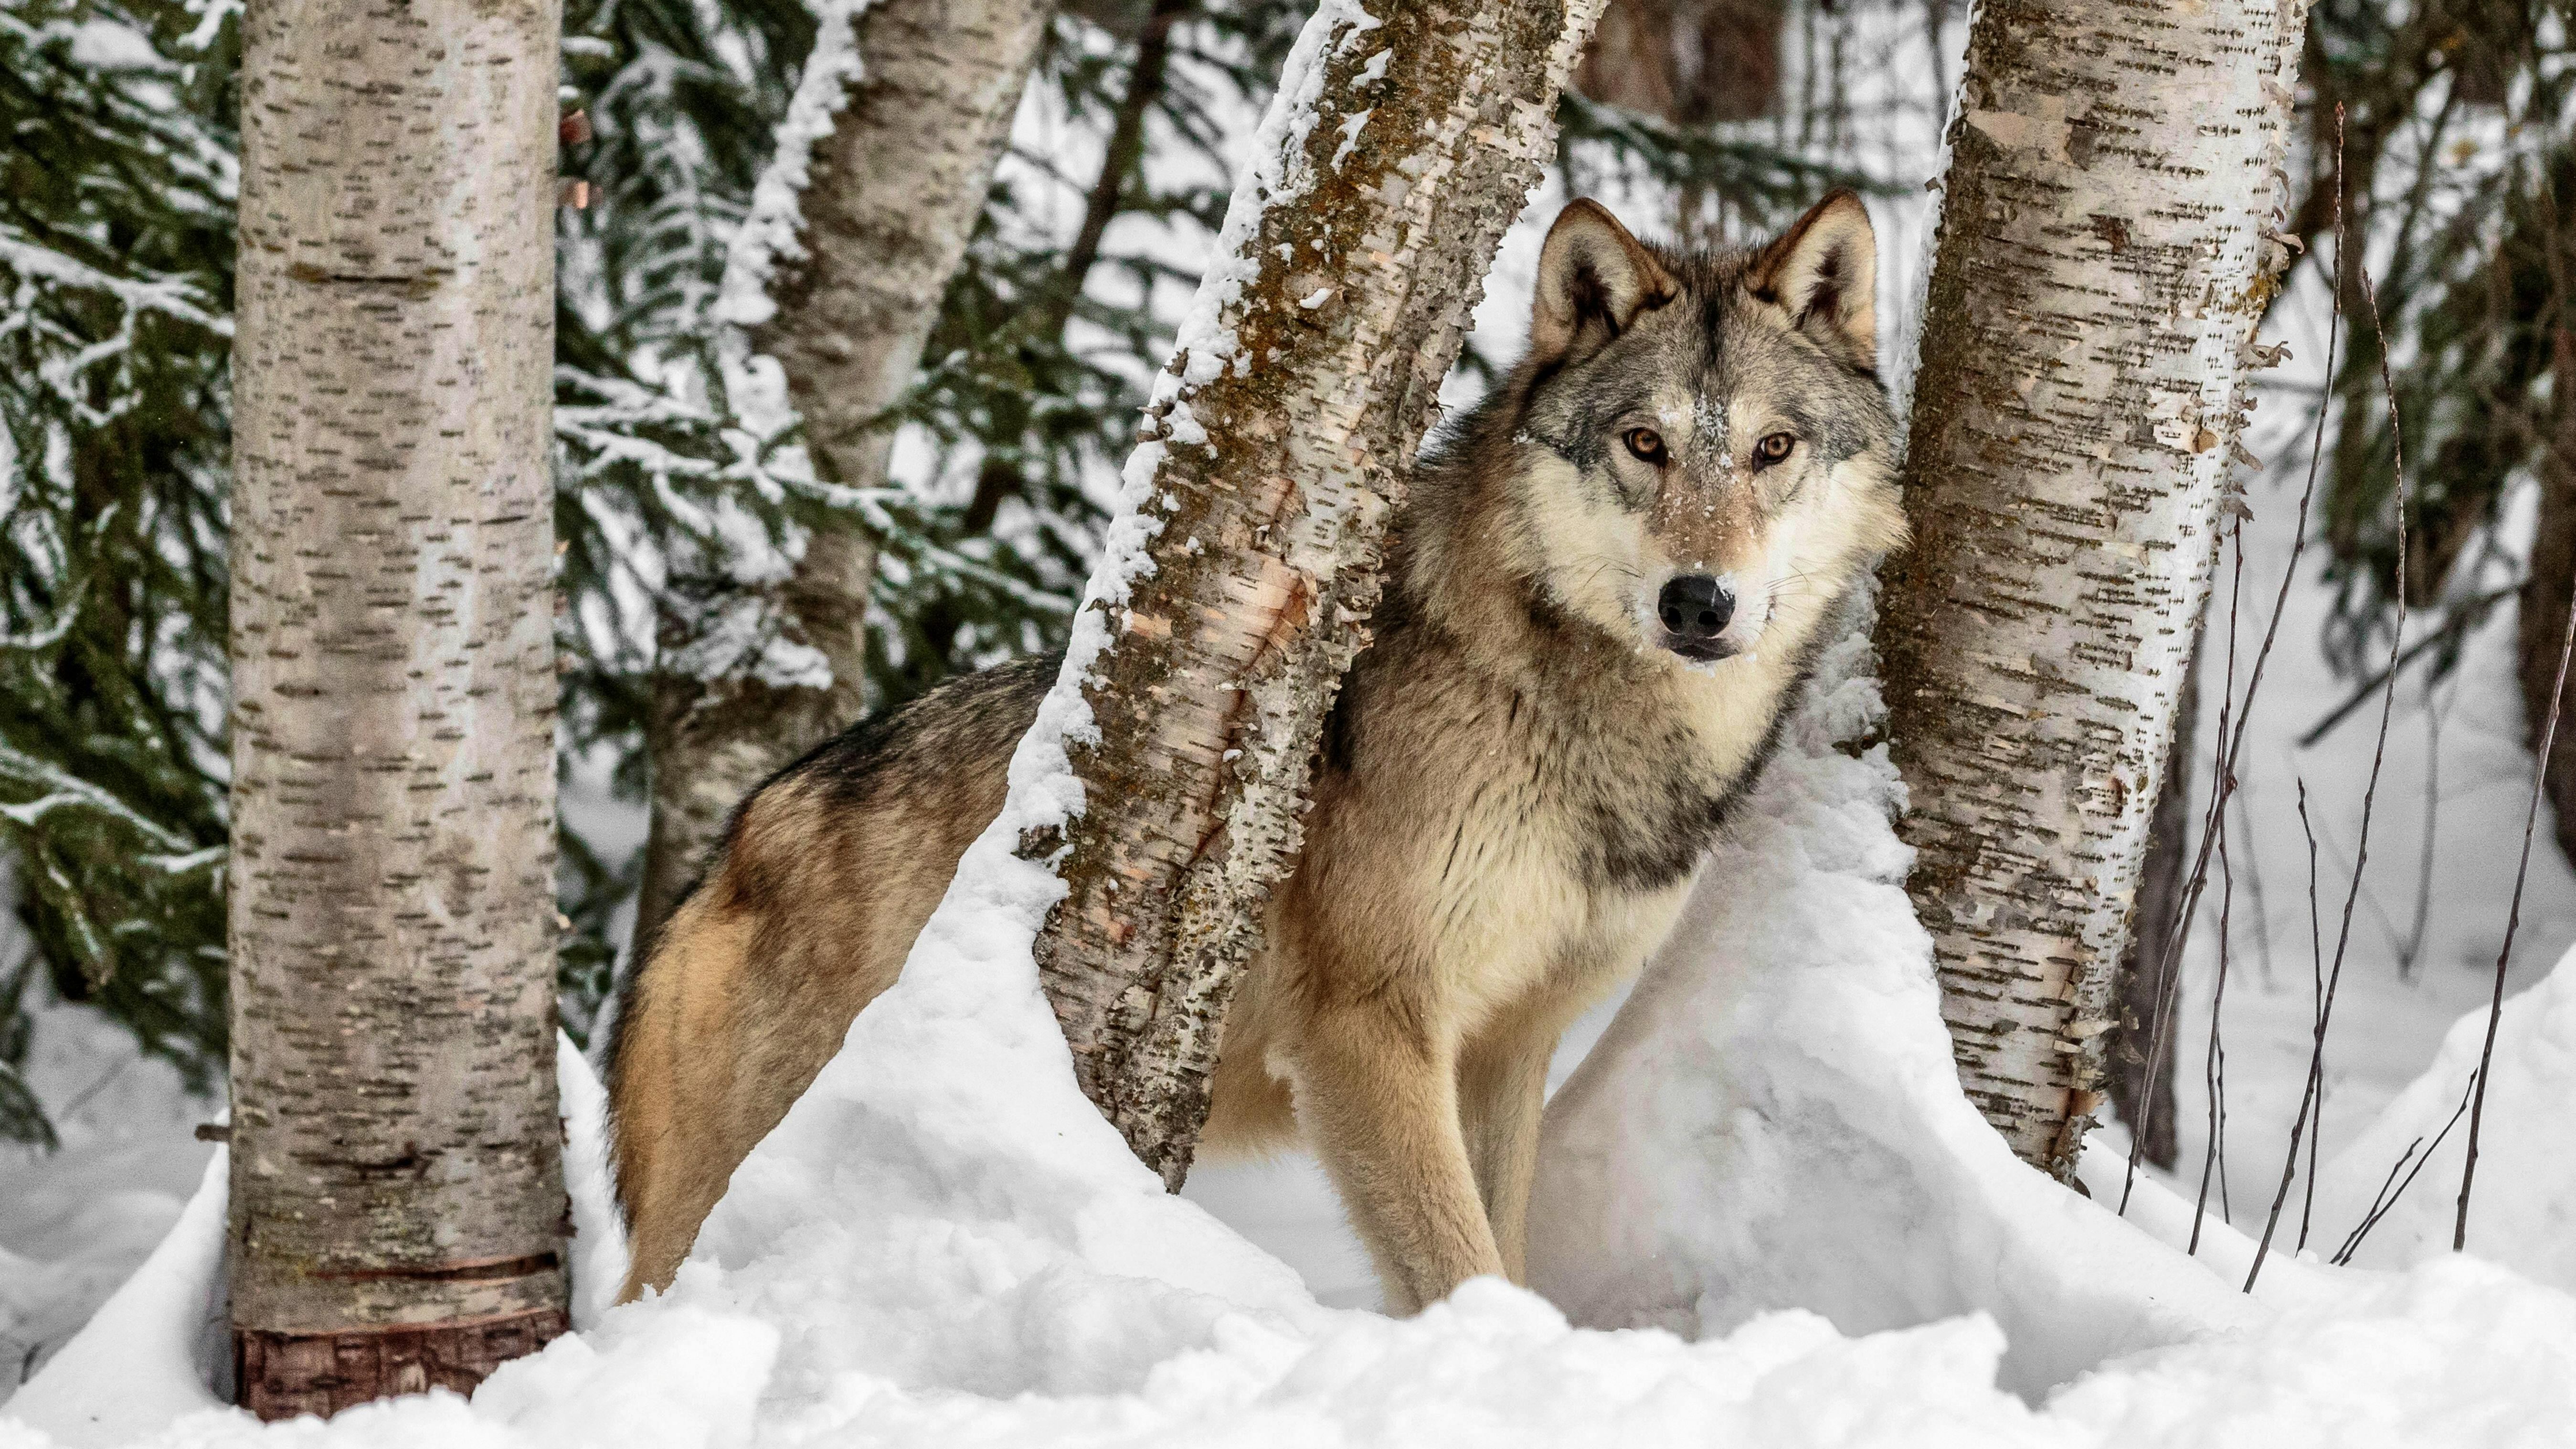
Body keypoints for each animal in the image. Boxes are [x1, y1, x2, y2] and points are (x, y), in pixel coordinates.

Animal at [608, 192, 1916, 1310]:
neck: (1569, 713)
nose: (1699, 601)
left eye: (1771, 450)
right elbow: (1463, 1267)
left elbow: (1502, 1246)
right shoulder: (1366, 1028)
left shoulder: (1509, 1046)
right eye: (1644, 443)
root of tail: (732, 845)